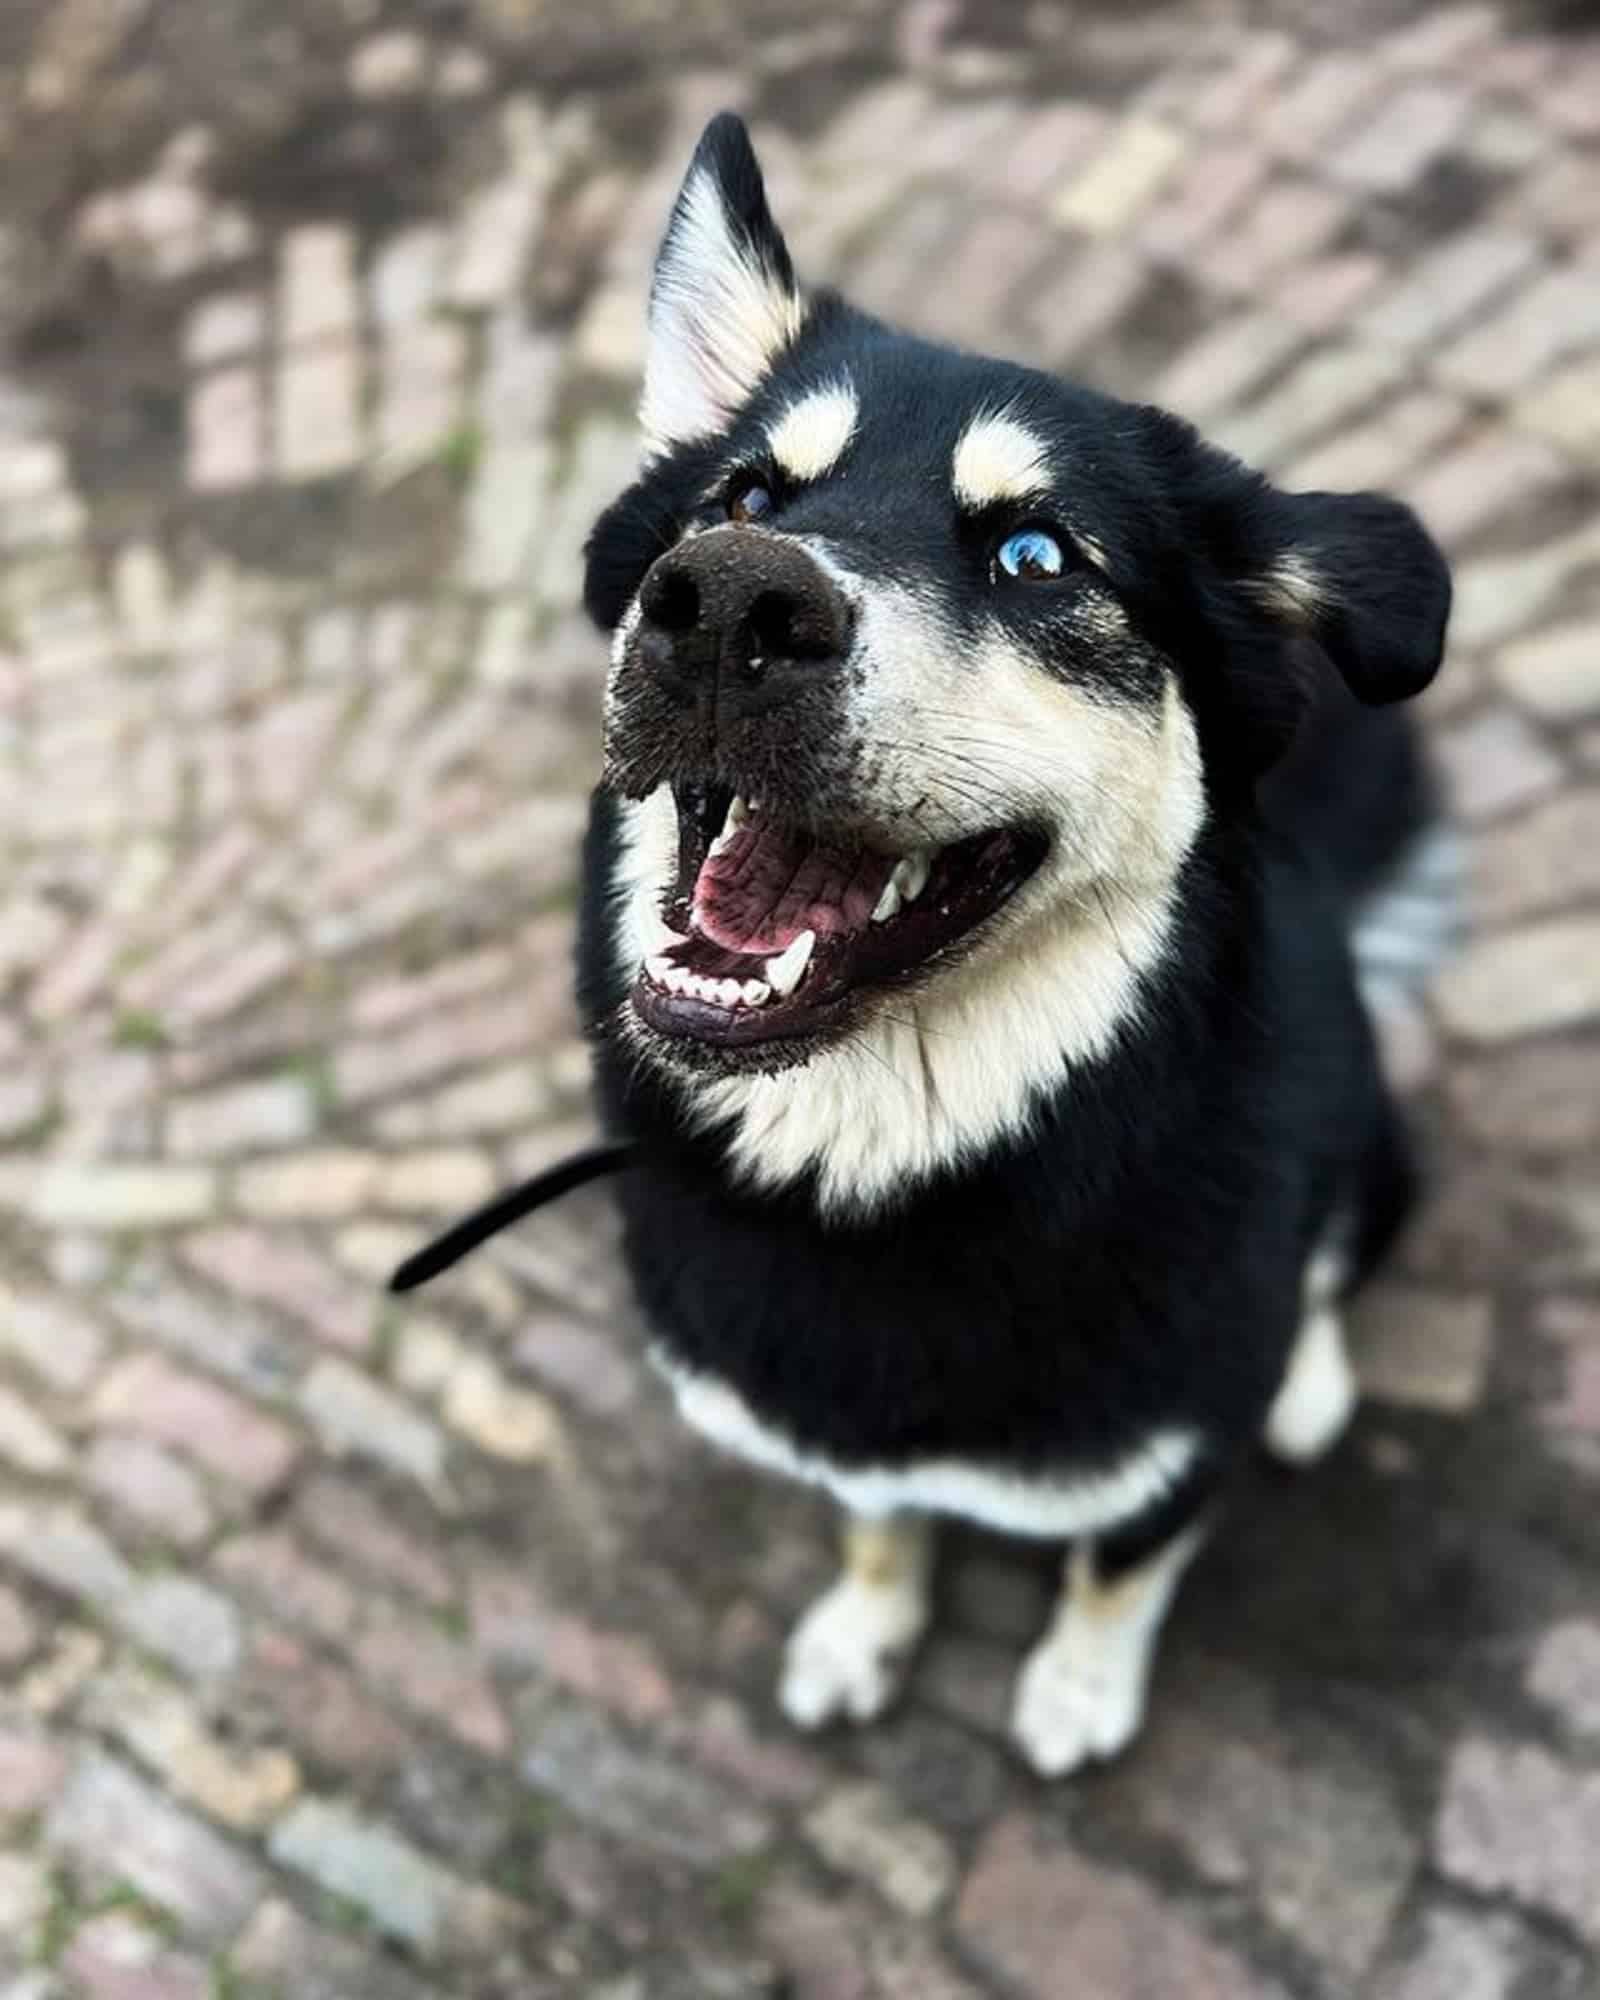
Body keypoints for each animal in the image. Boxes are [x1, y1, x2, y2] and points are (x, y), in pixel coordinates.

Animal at [572, 113, 1448, 1768]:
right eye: (743, 502)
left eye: (1039, 557)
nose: (721, 607)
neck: (882, 1182)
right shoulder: (846, 1443)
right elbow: (878, 1524)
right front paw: (866, 1629)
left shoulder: (1176, 1438)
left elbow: (1118, 1567)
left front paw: (1079, 1689)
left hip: (1369, 1129)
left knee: (1336, 1260)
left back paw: (1311, 1384)